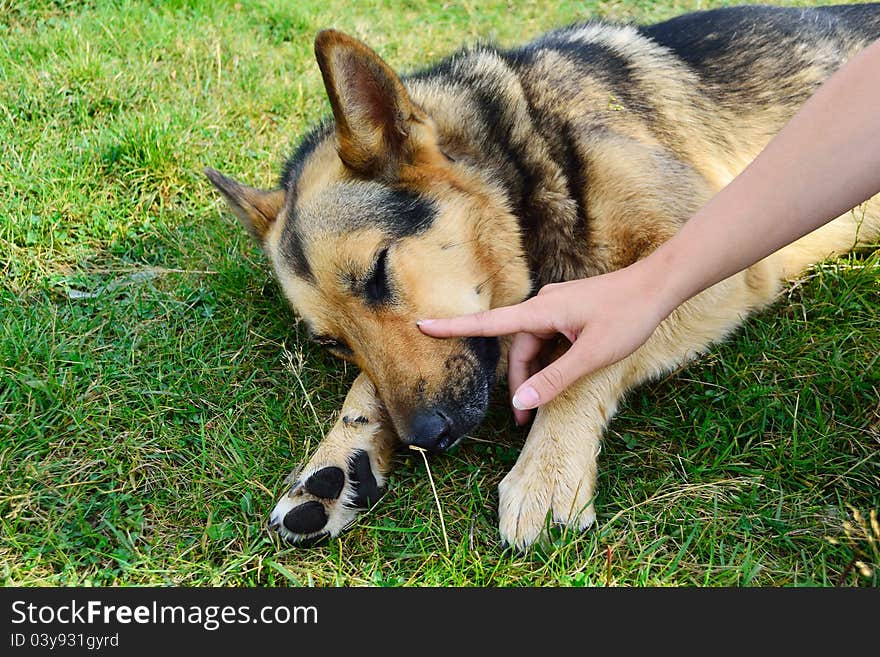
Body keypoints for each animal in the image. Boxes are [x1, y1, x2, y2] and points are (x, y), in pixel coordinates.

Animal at [208, 3, 880, 548]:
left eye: (377, 273)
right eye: (333, 344)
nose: (425, 437)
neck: (528, 156)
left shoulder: (704, 268)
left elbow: (584, 352)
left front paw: (547, 469)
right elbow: (366, 388)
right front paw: (335, 460)